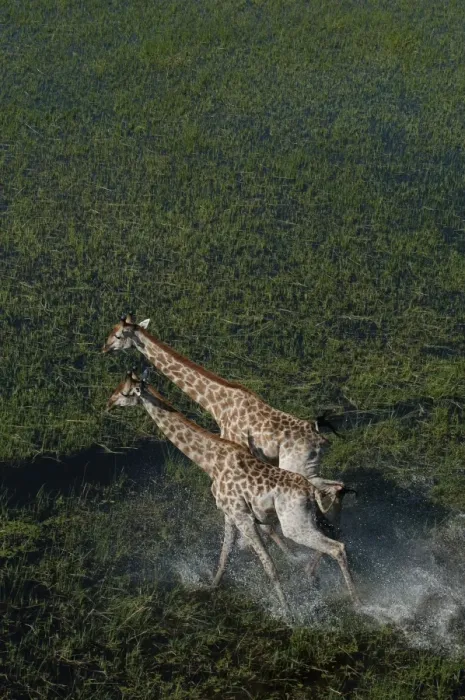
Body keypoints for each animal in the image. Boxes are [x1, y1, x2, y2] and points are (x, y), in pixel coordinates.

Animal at [105, 370, 360, 613]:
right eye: (118, 387)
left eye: (125, 392)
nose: (109, 403)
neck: (209, 460)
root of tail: (309, 491)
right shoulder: (229, 514)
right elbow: (224, 555)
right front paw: (211, 587)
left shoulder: (242, 516)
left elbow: (269, 566)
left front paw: (288, 613)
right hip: (310, 518)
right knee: (336, 531)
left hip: (294, 525)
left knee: (336, 547)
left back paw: (357, 604)